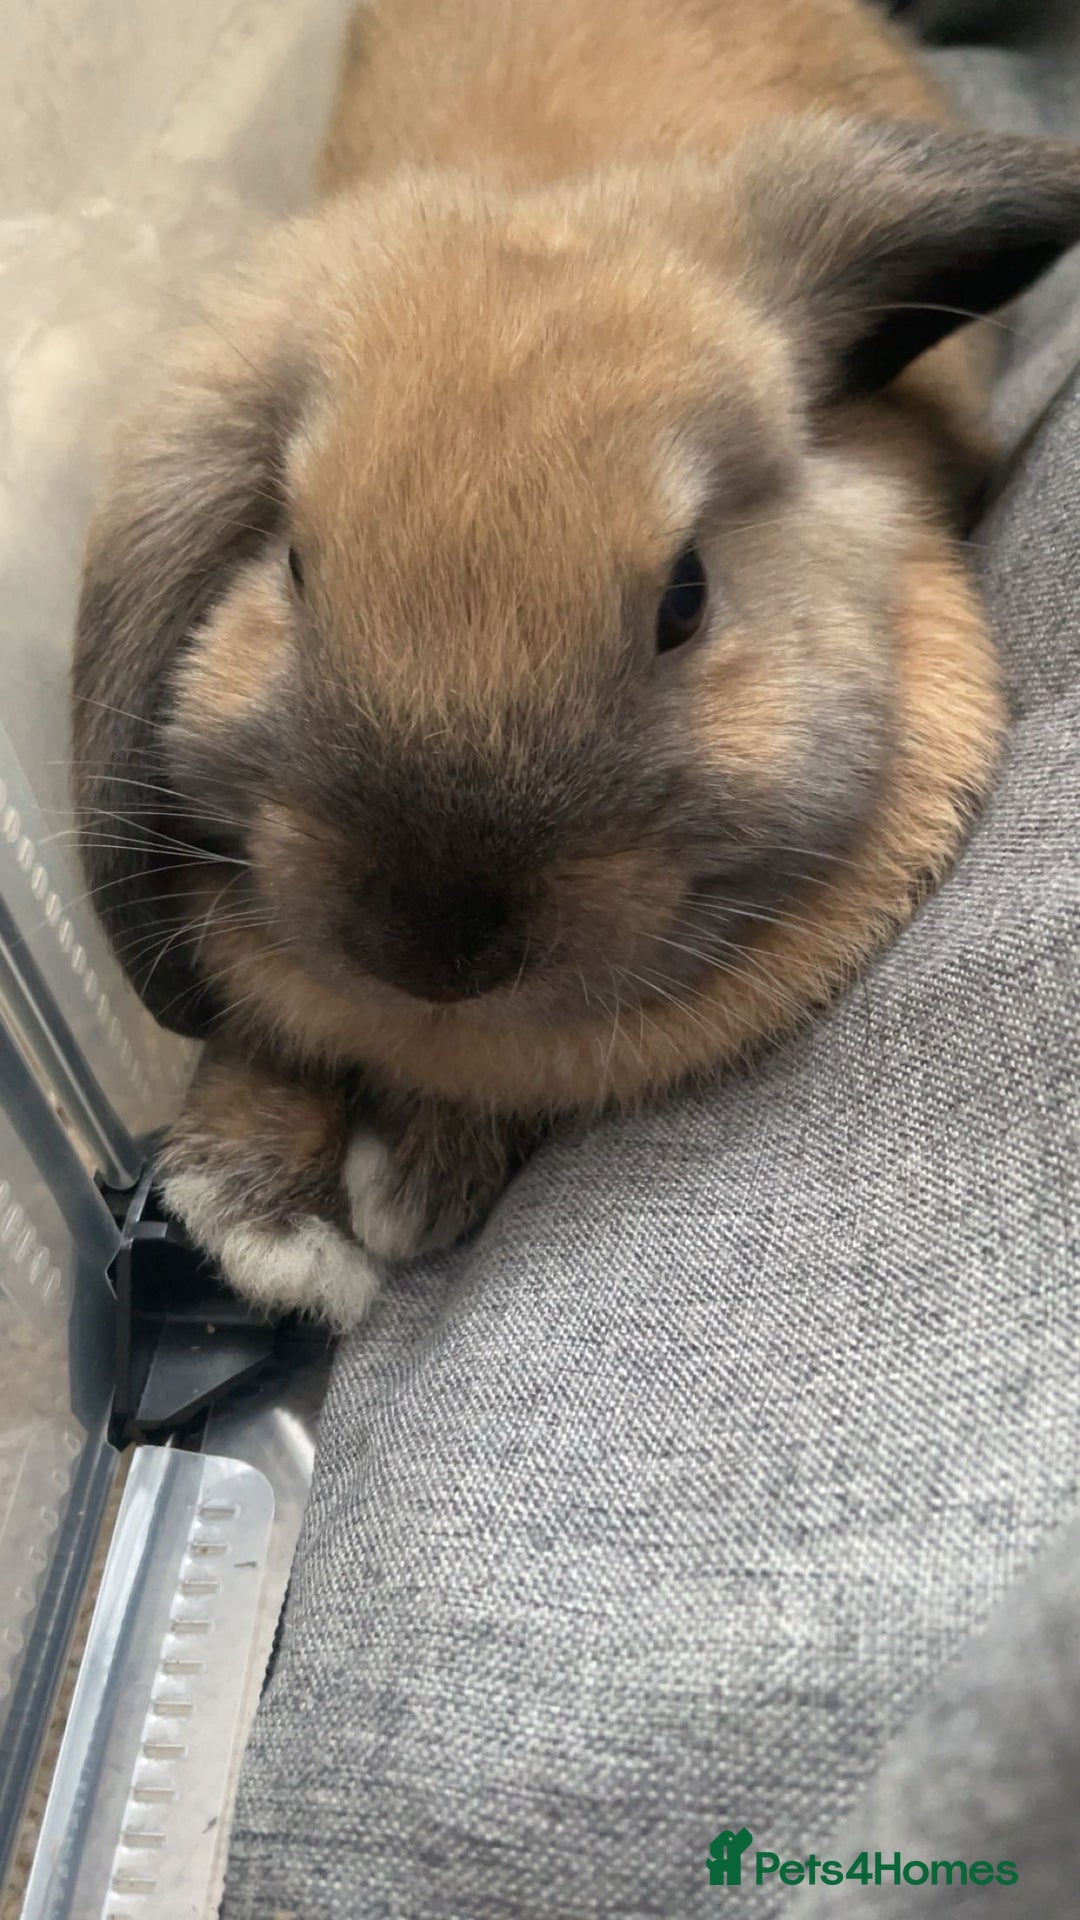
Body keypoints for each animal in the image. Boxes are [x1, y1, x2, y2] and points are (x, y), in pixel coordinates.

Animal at [73, 0, 1080, 1329]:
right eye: (290, 563)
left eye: (686, 597)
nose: (435, 944)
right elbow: (259, 1051)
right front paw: (265, 1216)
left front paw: (405, 1184)